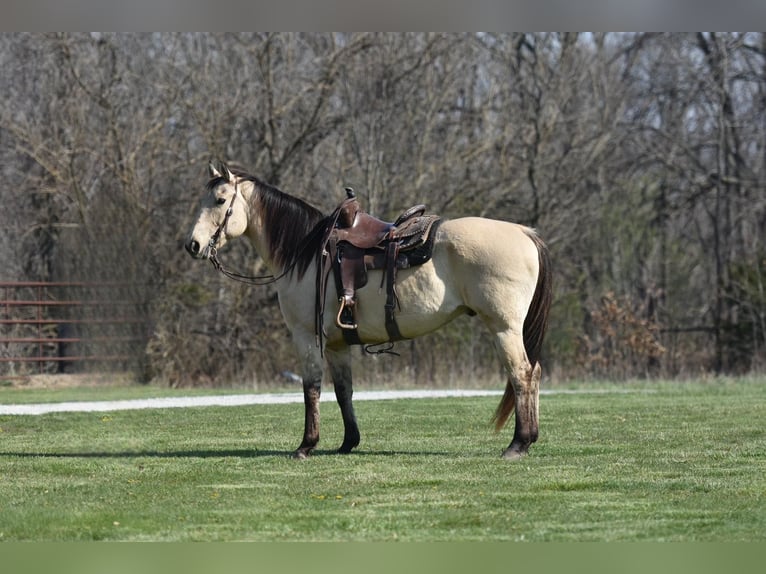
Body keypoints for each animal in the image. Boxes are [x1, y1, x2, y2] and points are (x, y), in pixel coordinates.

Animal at [186, 162, 552, 464]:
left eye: (220, 200)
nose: (193, 245)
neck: (305, 255)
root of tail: (524, 233)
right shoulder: (337, 344)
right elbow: (343, 391)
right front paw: (348, 442)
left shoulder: (307, 337)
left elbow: (311, 389)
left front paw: (306, 445)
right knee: (532, 373)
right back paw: (527, 440)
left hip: (503, 328)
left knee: (521, 374)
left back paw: (518, 444)